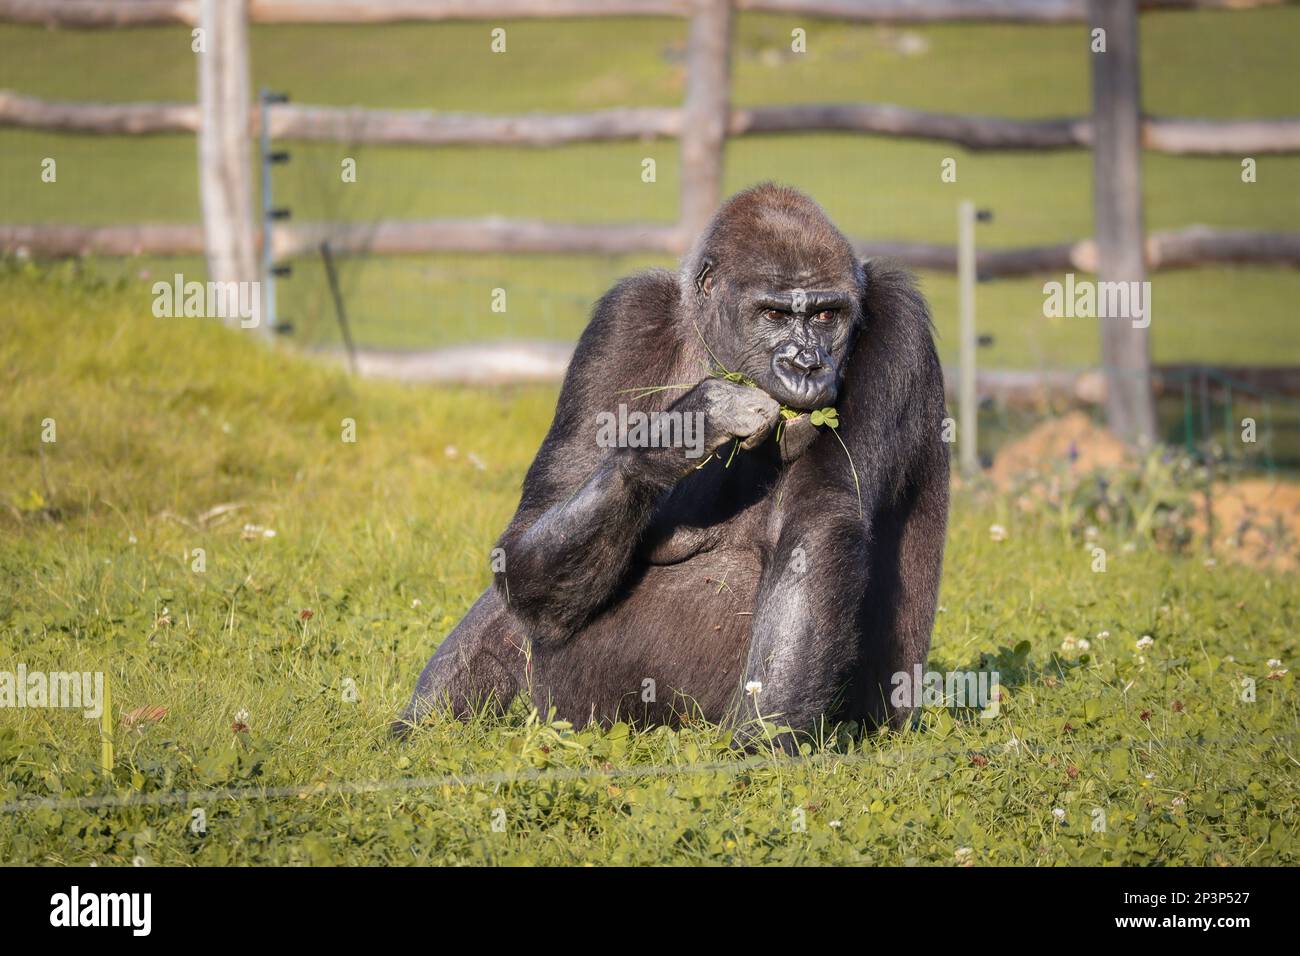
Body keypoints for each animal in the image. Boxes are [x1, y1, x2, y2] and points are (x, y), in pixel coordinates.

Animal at [395, 180, 946, 749]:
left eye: (824, 316)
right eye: (774, 314)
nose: (806, 366)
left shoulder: (896, 316)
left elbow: (819, 519)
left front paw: (760, 750)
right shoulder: (627, 315)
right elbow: (534, 520)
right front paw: (683, 430)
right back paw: (421, 731)